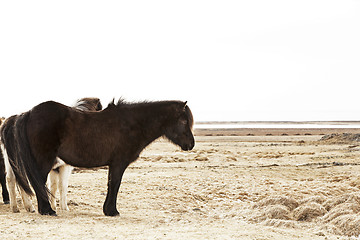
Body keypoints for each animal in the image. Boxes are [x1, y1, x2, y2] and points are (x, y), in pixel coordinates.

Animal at [4, 98, 194, 217]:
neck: (132, 124)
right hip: (43, 161)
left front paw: (107, 210)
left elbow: (111, 184)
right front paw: (112, 211)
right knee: (38, 183)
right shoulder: (118, 163)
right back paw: (47, 210)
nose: (191, 144)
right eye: (184, 121)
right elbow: (115, 185)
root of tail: (28, 113)